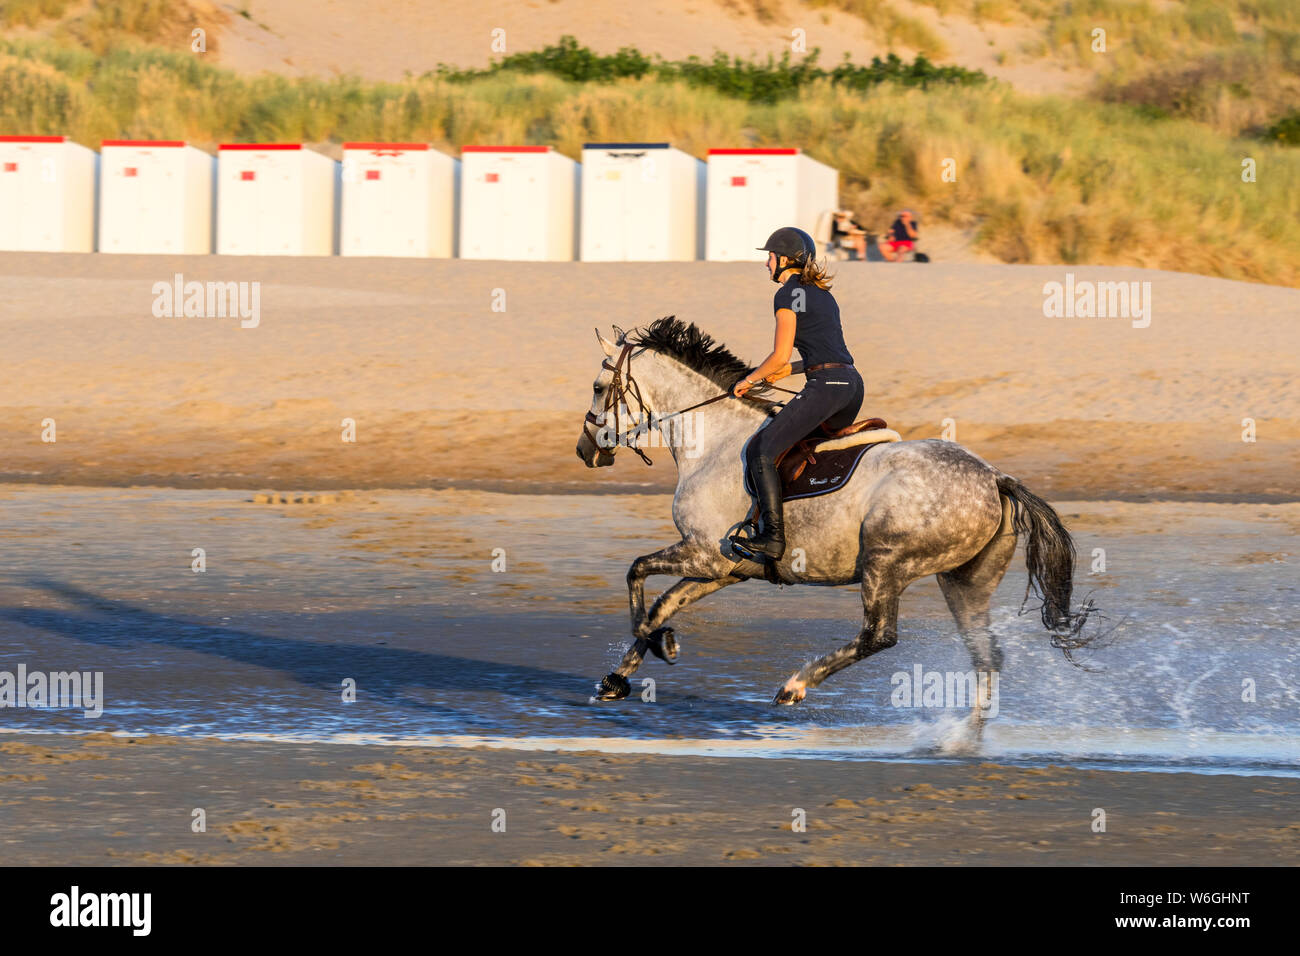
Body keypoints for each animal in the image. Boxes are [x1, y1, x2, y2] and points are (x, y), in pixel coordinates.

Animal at [574, 317, 1092, 743]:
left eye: (599, 387)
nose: (585, 451)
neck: (714, 441)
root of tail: (994, 478)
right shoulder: (724, 568)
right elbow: (664, 602)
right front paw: (619, 677)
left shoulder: (704, 553)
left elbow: (638, 576)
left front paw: (660, 644)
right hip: (964, 581)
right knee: (986, 655)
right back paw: (964, 739)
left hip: (885, 564)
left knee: (880, 636)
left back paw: (795, 686)